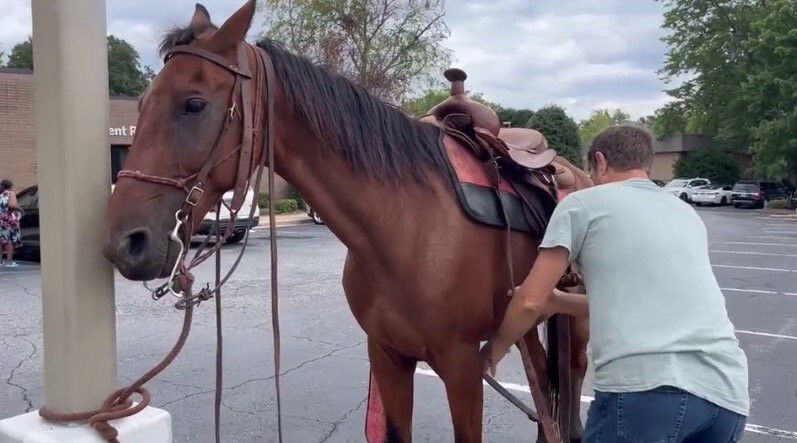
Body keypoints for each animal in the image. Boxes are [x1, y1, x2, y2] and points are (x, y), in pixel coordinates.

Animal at [102, 1, 592, 442]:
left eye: (194, 104)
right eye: (142, 104)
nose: (125, 242)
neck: (407, 230)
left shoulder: (462, 367)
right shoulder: (388, 355)